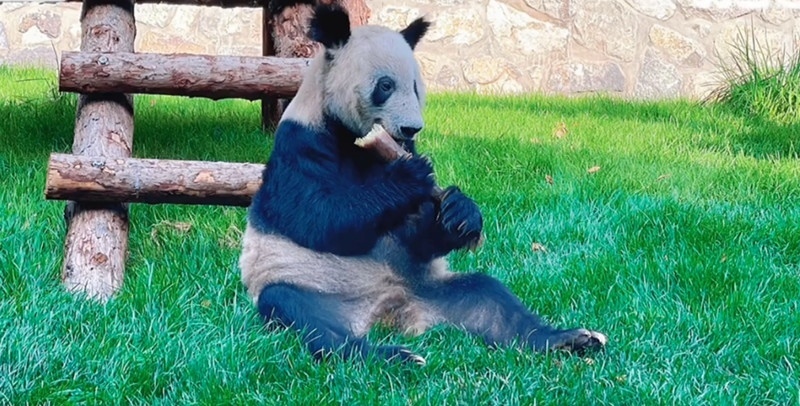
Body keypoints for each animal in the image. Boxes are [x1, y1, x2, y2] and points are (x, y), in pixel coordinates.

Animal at [239, 4, 608, 364]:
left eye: (416, 87)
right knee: (305, 316)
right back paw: (389, 357)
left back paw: (565, 339)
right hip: (312, 285)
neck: (355, 140)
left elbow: (414, 235)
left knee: (490, 298)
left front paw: (460, 212)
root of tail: (390, 310)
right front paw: (409, 177)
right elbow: (319, 217)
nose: (411, 129)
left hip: (431, 289)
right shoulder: (300, 144)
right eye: (385, 86)